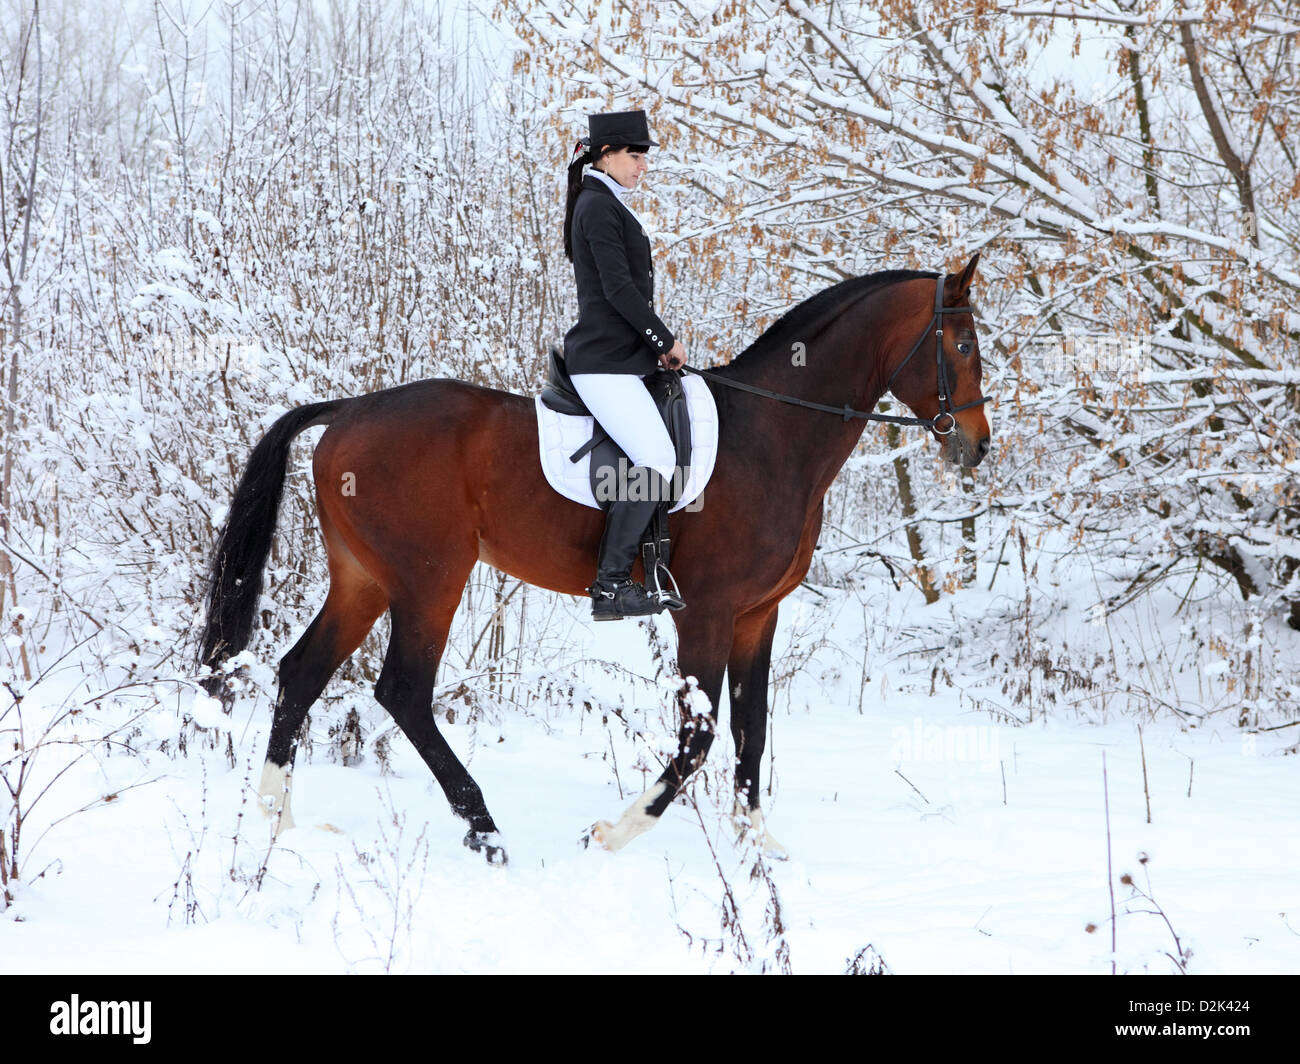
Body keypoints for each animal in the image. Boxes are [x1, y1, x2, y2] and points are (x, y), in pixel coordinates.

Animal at [200, 254, 993, 863]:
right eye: (961, 346)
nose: (977, 446)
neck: (772, 434)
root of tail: (346, 412)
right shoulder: (705, 613)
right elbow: (701, 735)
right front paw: (615, 832)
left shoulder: (757, 615)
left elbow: (752, 728)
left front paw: (758, 843)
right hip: (430, 582)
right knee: (402, 692)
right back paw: (485, 829)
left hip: (364, 580)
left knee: (301, 674)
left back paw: (278, 822)